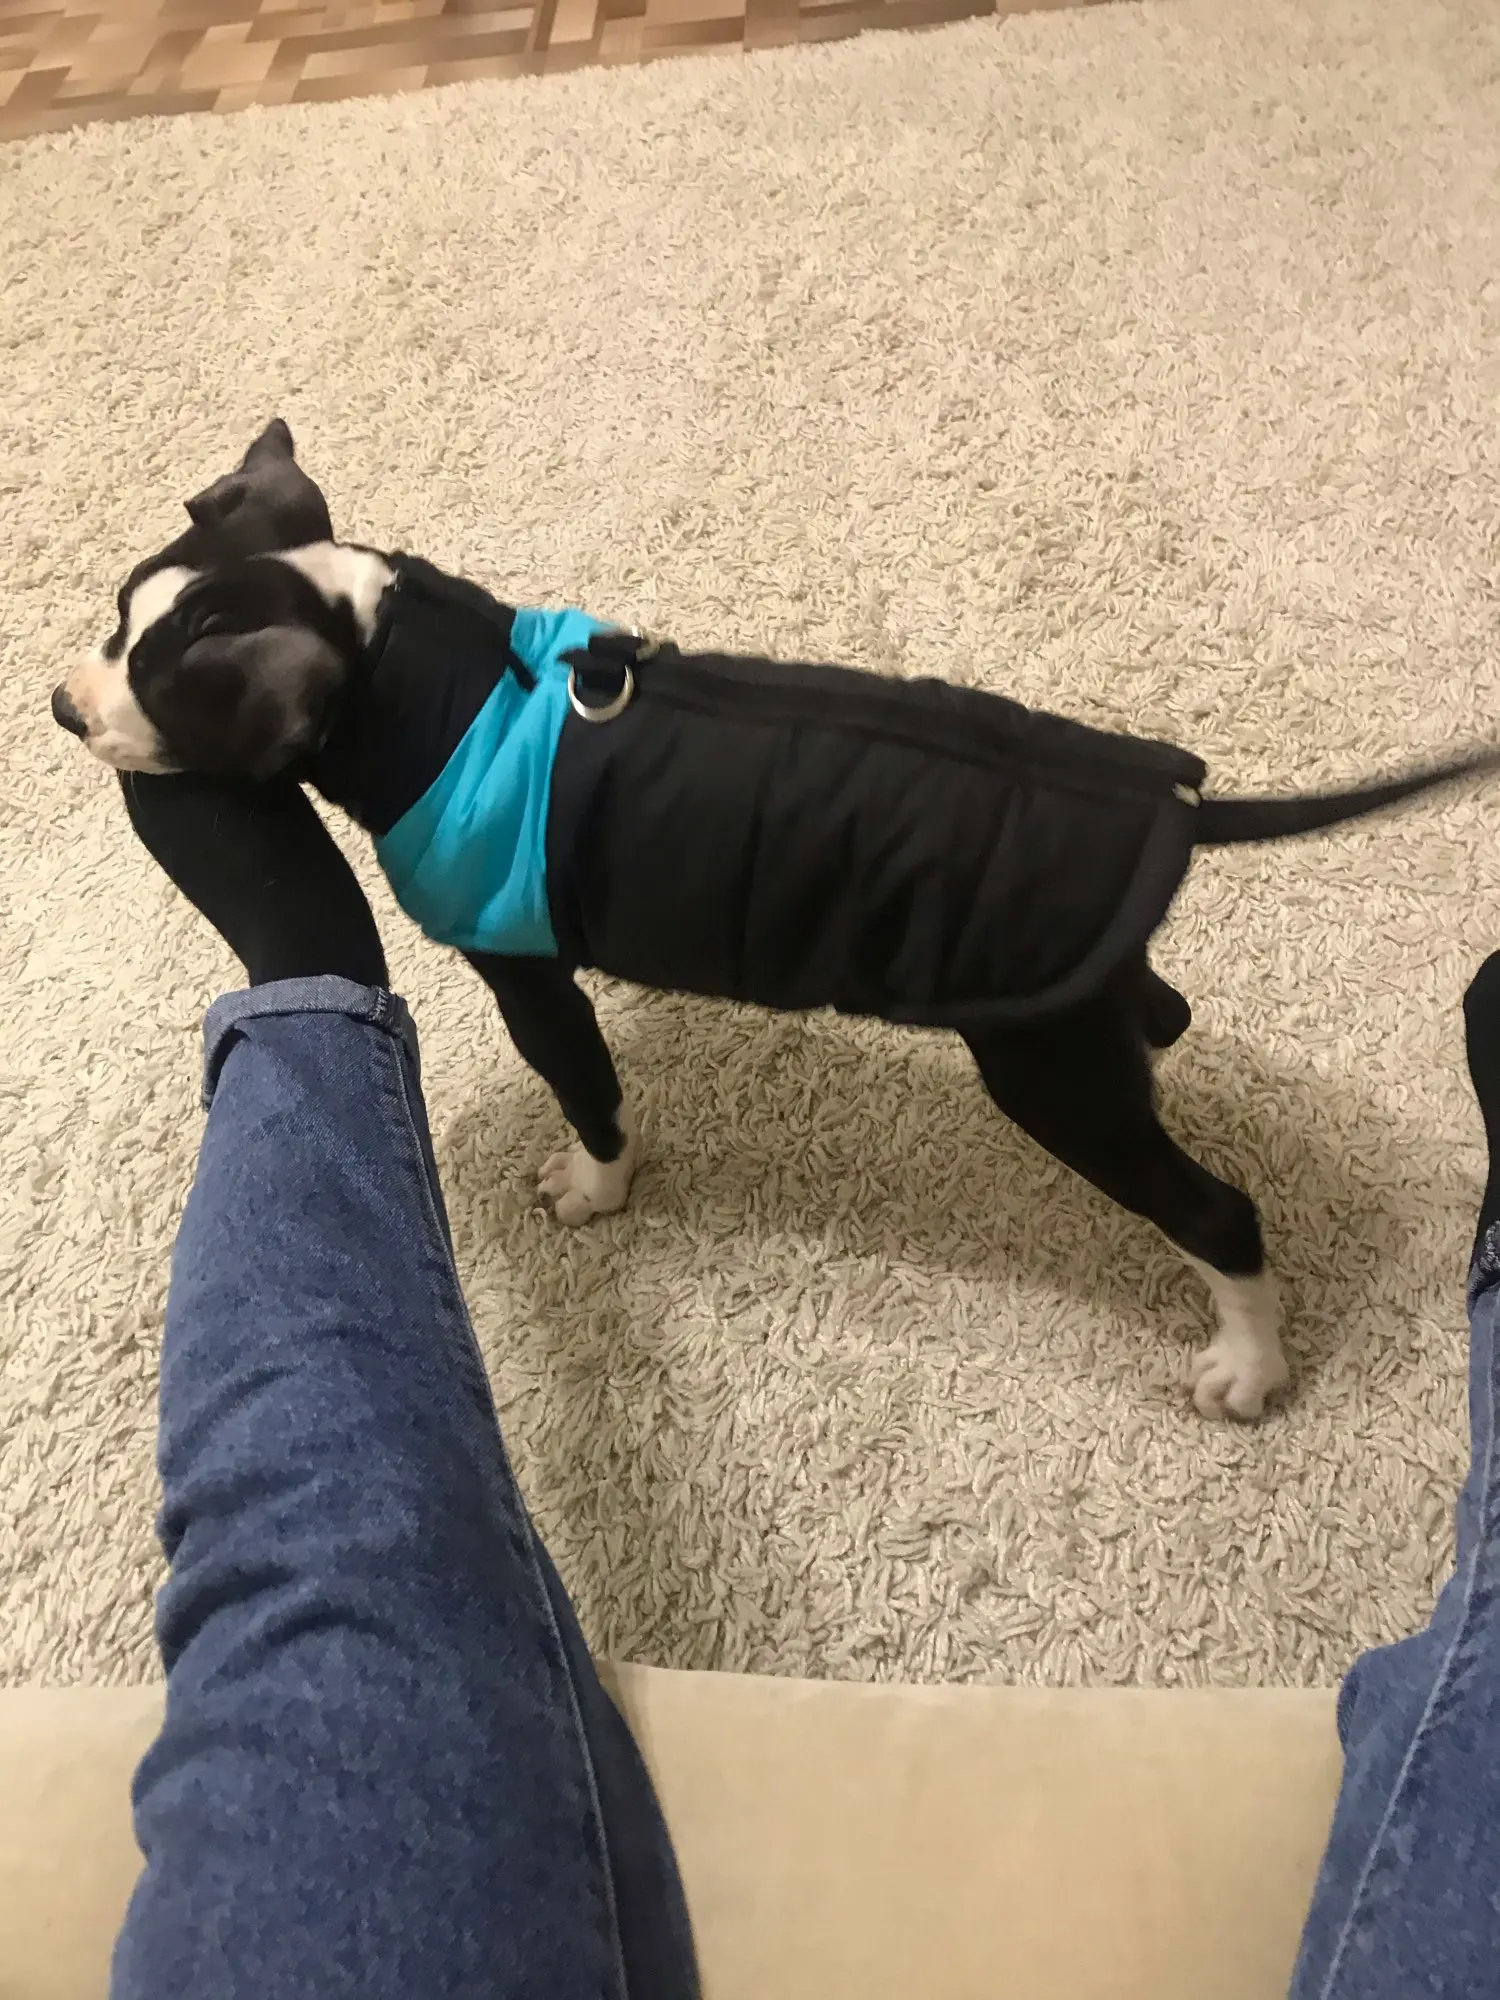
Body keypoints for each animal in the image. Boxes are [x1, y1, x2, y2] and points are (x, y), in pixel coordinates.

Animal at [53, 422, 1500, 1420]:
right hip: (1072, 1012)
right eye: (115, 618)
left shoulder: (530, 975)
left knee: (1221, 1213)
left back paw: (1248, 1363)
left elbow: (588, 1090)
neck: (410, 667)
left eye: (165, 686)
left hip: (1046, 1076)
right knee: (1160, 1012)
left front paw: (595, 1186)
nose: (65, 705)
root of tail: (1166, 805)